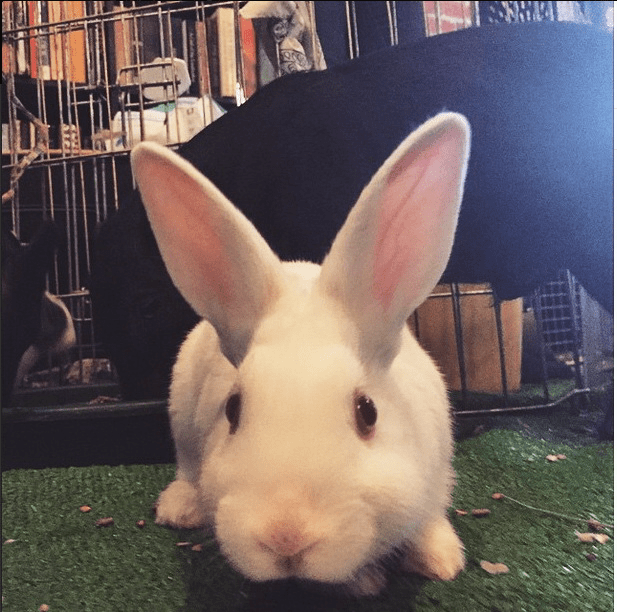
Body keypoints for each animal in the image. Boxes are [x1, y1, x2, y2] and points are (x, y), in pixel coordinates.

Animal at [130, 112, 470, 596]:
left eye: (368, 412)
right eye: (232, 410)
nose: (286, 536)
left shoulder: (438, 468)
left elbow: (431, 515)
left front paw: (440, 561)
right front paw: (366, 580)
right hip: (181, 416)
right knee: (187, 467)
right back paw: (179, 507)